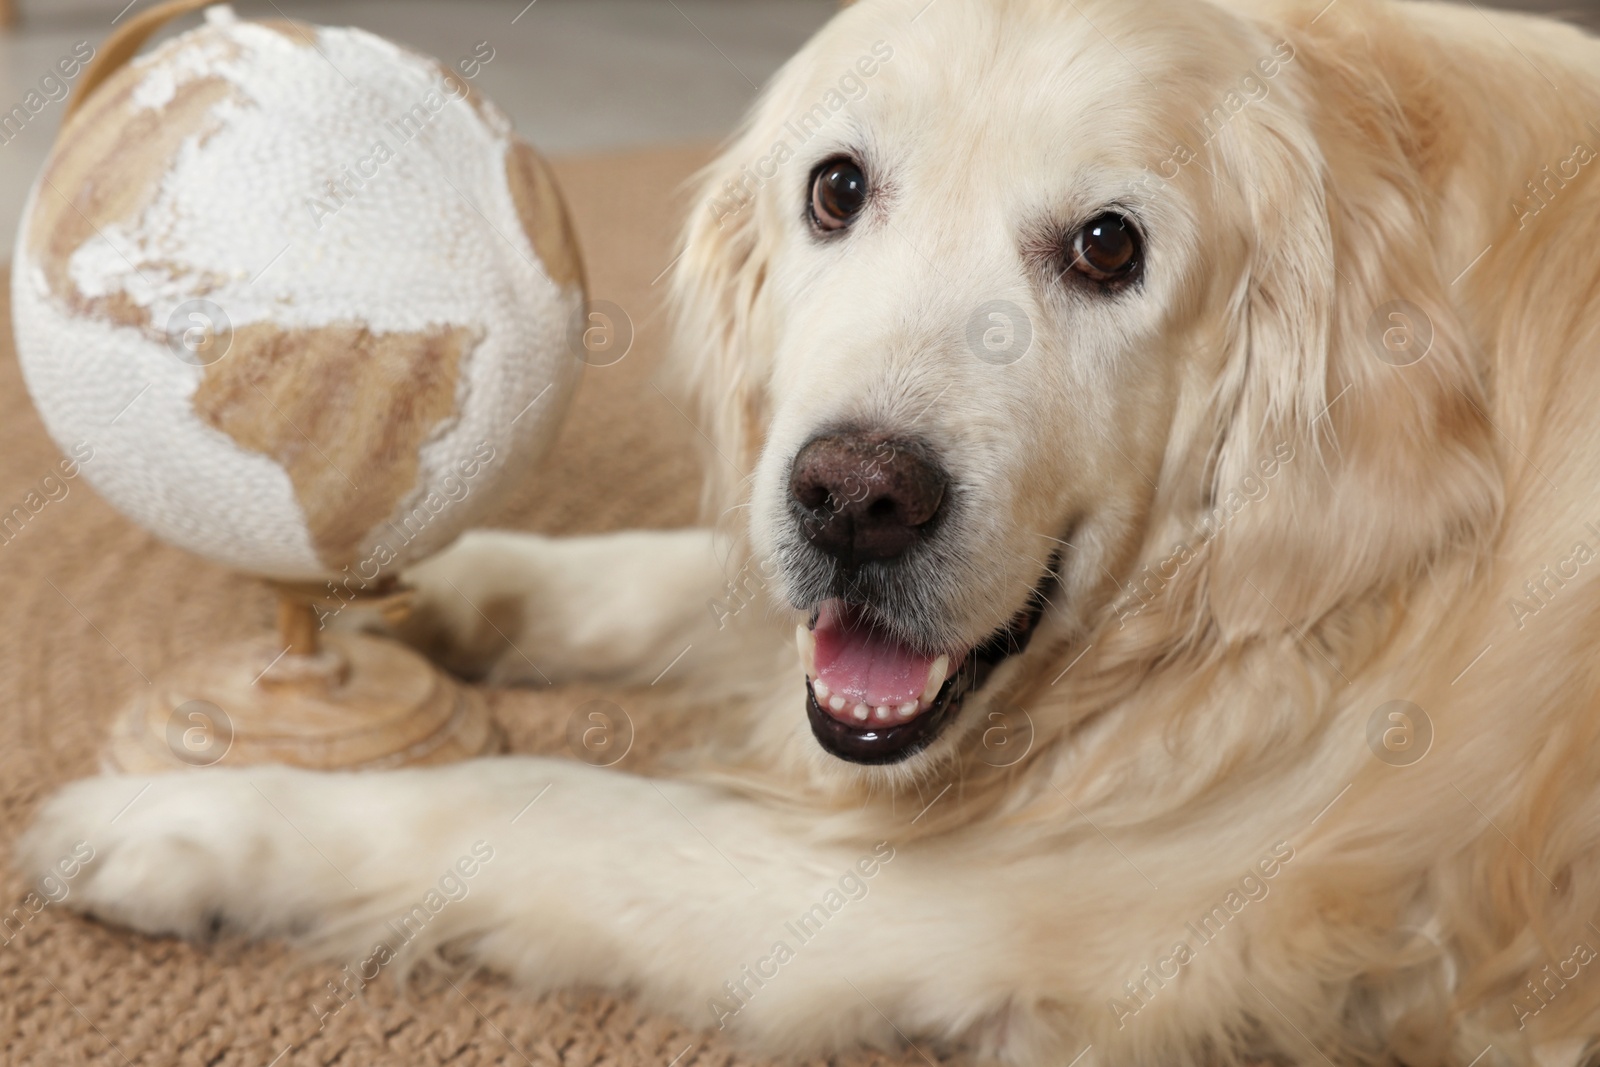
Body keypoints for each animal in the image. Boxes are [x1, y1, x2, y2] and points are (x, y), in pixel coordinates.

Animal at [18, 0, 1600, 1062]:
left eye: (1111, 246)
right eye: (837, 187)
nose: (854, 497)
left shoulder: (981, 904)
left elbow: (538, 801)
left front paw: (201, 818)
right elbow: (682, 581)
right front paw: (444, 590)